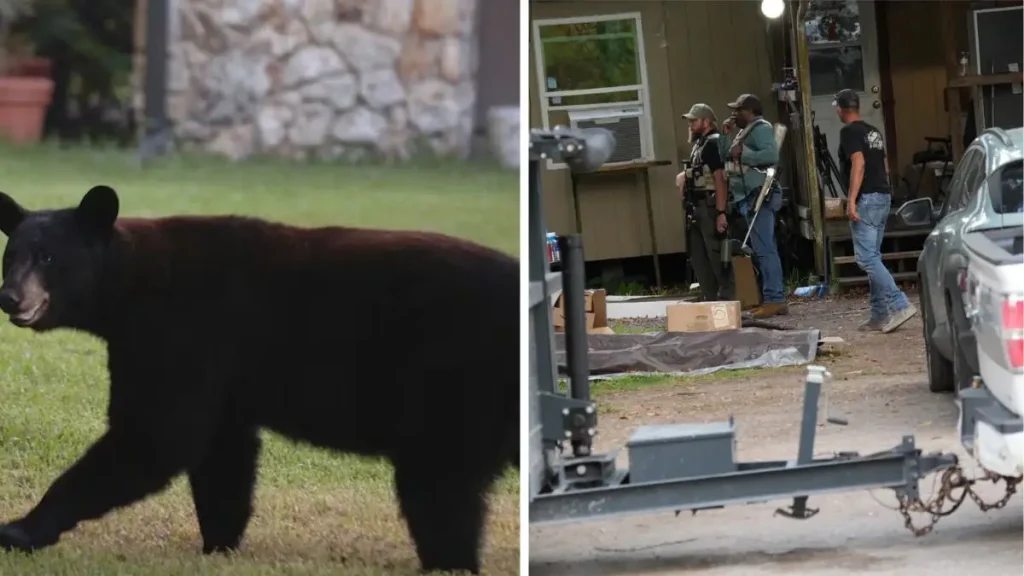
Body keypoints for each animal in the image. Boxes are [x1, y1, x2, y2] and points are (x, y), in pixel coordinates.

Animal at [0, 185, 520, 574]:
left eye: (47, 258)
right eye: (10, 255)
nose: (9, 297)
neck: (130, 286)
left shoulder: (180, 334)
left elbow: (156, 436)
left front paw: (21, 528)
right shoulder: (219, 374)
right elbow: (223, 454)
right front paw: (219, 544)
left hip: (451, 385)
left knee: (438, 489)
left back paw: (448, 563)